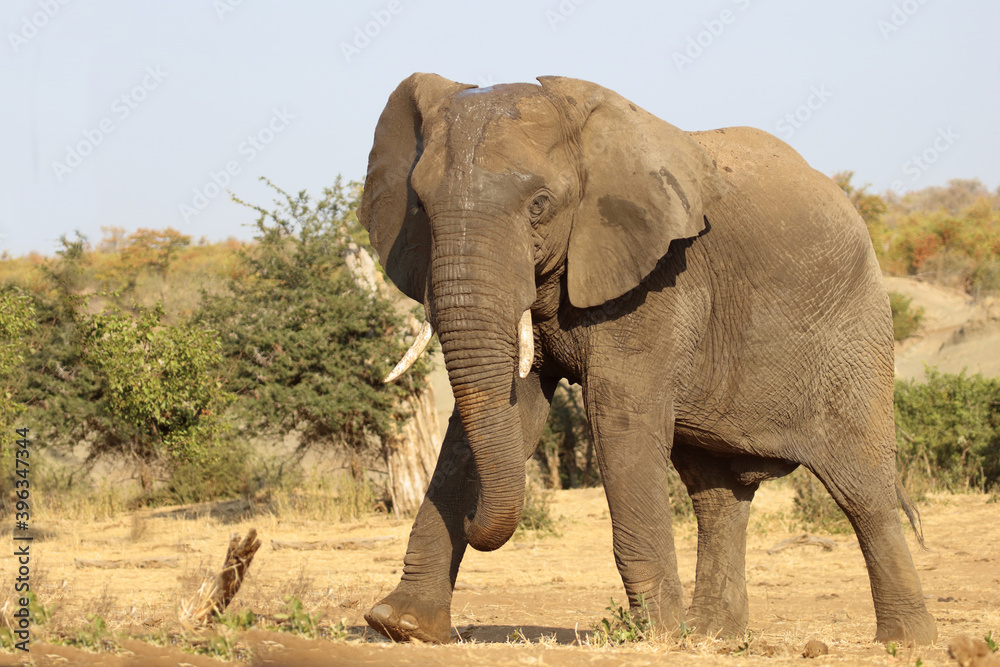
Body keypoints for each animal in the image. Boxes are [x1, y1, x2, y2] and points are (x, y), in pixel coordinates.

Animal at [355, 72, 937, 645]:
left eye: (539, 204)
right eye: (419, 207)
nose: (476, 522)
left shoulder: (659, 279)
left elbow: (619, 419)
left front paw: (654, 634)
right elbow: (507, 413)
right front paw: (400, 626)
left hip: (854, 330)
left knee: (861, 488)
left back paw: (905, 641)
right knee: (716, 494)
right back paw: (712, 637)